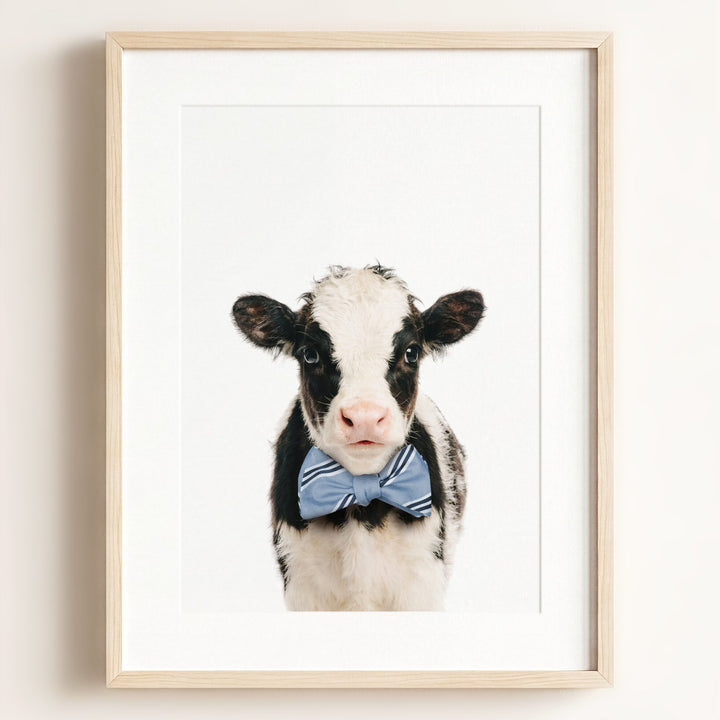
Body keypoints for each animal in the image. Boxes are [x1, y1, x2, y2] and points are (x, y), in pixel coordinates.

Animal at [231, 264, 485, 610]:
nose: (364, 417)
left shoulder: (422, 582)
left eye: (411, 352)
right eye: (310, 354)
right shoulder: (302, 585)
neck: (362, 509)